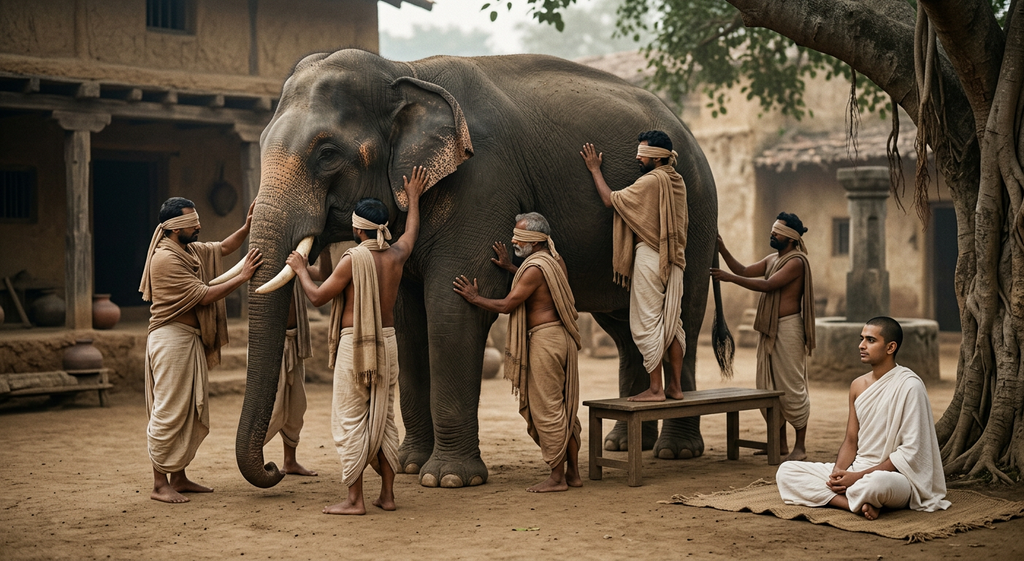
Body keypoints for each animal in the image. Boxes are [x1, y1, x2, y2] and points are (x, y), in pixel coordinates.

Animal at [236, 49, 733, 489]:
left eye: (327, 154)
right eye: (258, 146)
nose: (274, 470)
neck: (403, 69)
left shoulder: (482, 182)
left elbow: (450, 310)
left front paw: (449, 479)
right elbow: (409, 321)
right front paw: (412, 467)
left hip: (694, 212)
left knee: (684, 314)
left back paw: (676, 450)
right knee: (624, 324)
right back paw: (622, 442)